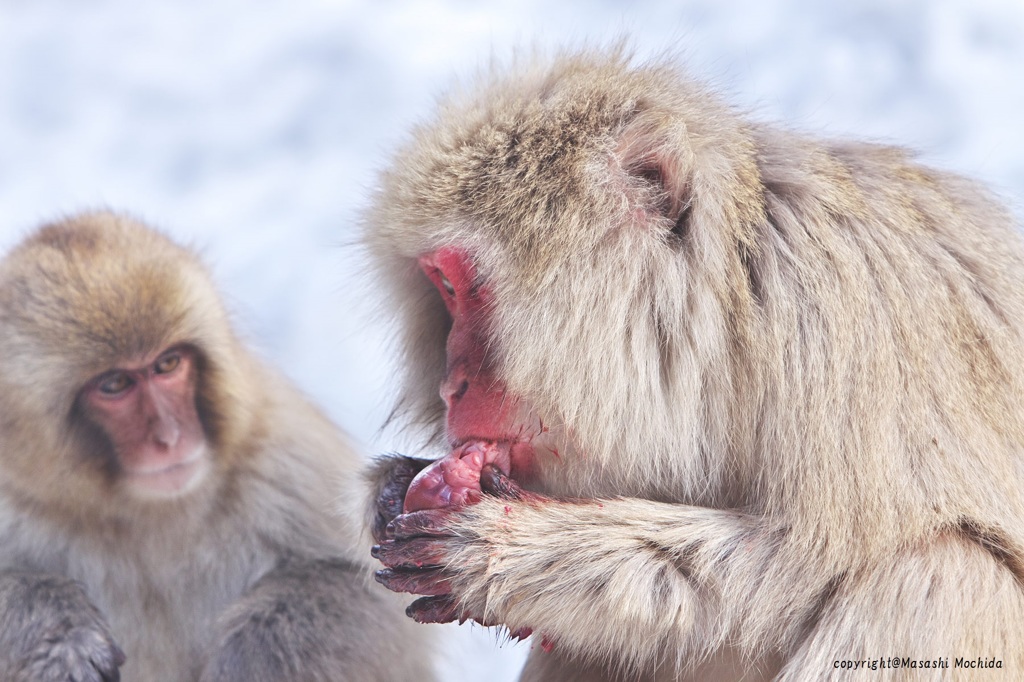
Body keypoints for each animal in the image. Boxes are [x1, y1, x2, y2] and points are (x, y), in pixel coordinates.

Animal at [0, 210, 430, 679]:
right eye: (114, 385)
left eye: (168, 363)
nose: (170, 437)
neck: (151, 513)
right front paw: (61, 633)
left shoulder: (280, 451)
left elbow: (367, 592)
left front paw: (249, 655)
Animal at [364, 49, 1024, 679]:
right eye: (443, 290)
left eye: (463, 286)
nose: (451, 386)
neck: (729, 313)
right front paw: (390, 488)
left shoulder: (842, 314)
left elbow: (806, 564)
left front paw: (512, 553)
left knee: (940, 573)